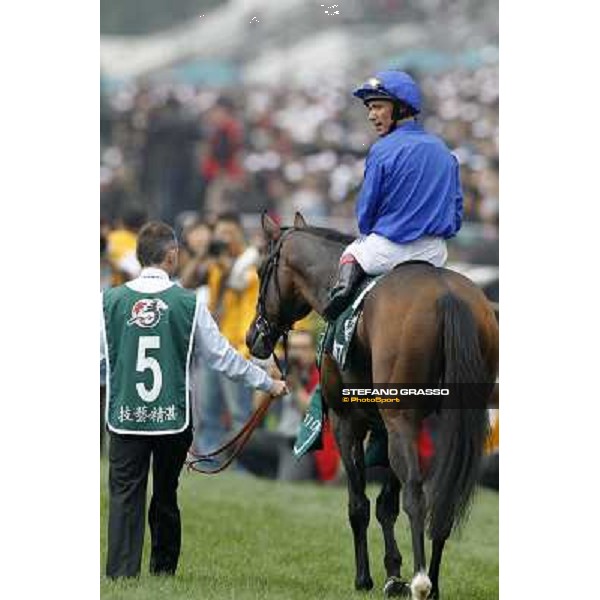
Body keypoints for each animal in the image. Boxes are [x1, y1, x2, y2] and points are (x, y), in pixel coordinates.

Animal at [246, 213, 500, 596]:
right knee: (444, 496)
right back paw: (433, 583)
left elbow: (359, 504)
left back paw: (421, 581)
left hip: (401, 419)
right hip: (448, 422)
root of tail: (447, 295)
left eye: (262, 270)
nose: (253, 337)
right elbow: (385, 505)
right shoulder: (388, 427)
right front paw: (393, 574)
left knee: (416, 494)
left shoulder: (348, 421)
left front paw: (365, 577)